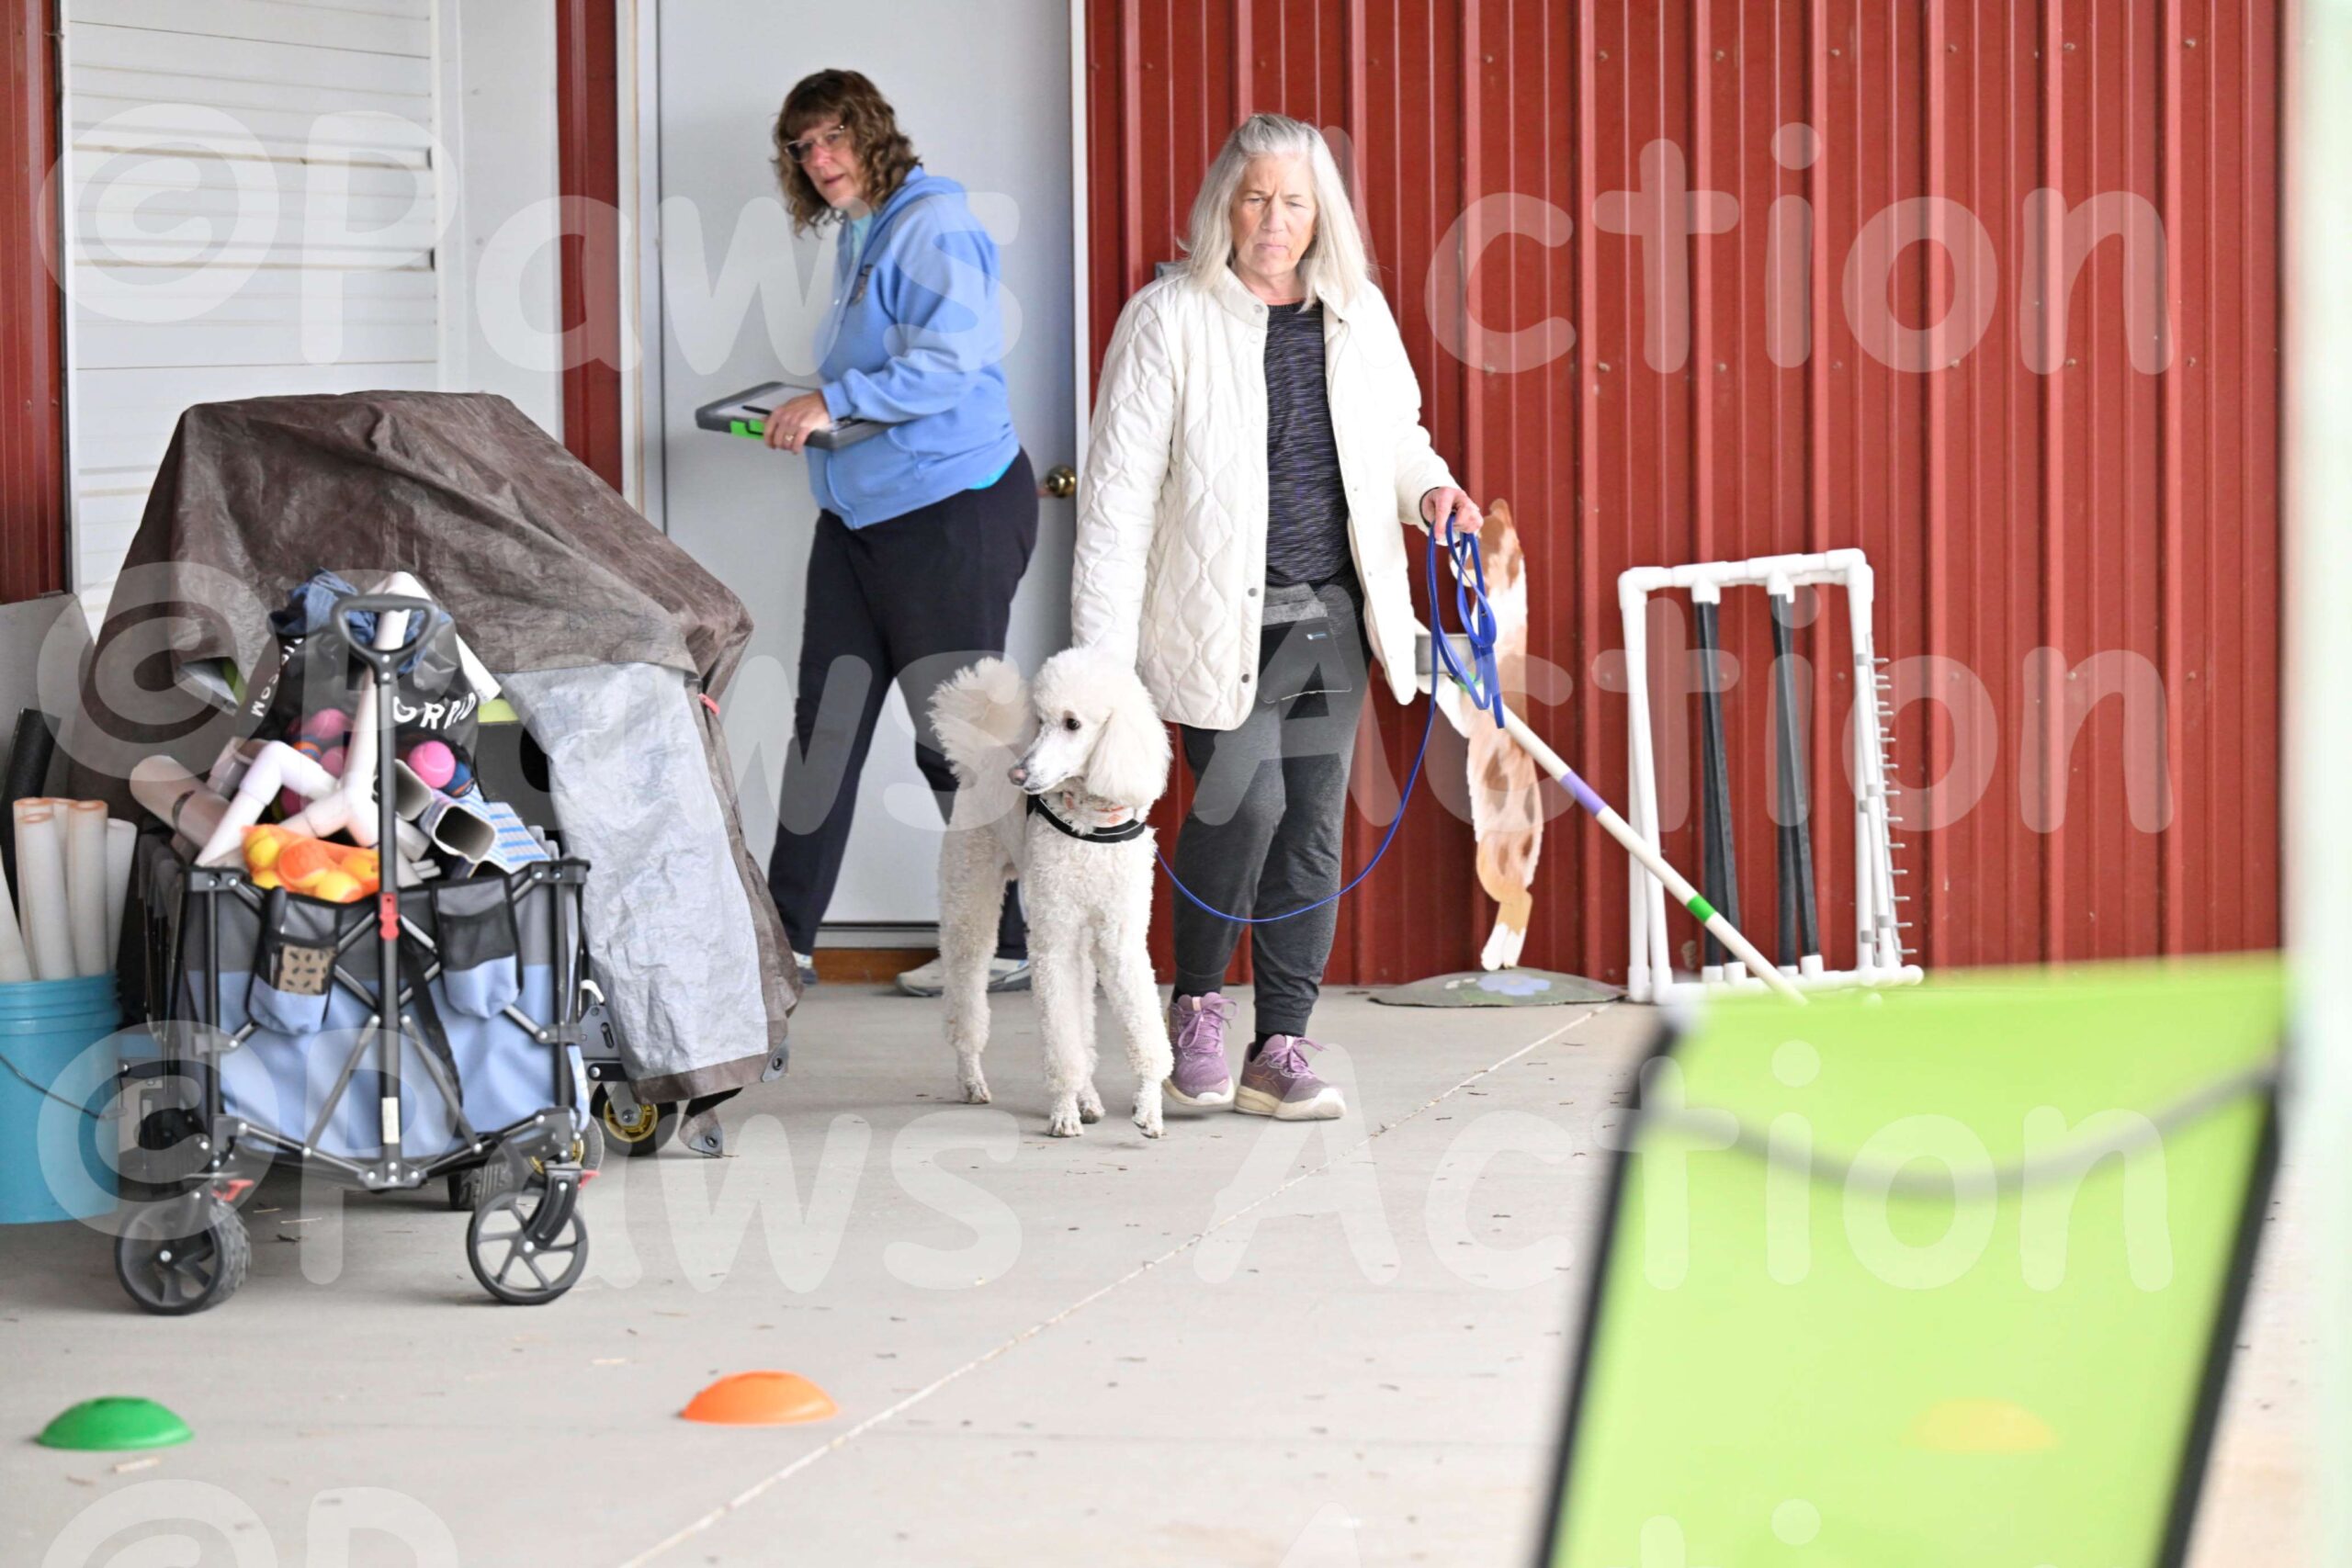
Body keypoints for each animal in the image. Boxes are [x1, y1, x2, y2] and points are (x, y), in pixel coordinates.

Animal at [928, 646, 1175, 1138]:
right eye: (1039, 720)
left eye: (1072, 723)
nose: (1018, 773)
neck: (1091, 825)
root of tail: (983, 755)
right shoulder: (1053, 941)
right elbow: (1061, 1039)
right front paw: (1063, 1110)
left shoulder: (1120, 938)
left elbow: (1141, 1022)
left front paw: (1149, 1105)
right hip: (971, 902)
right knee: (967, 993)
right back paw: (972, 1079)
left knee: (1082, 1018)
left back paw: (1090, 1098)